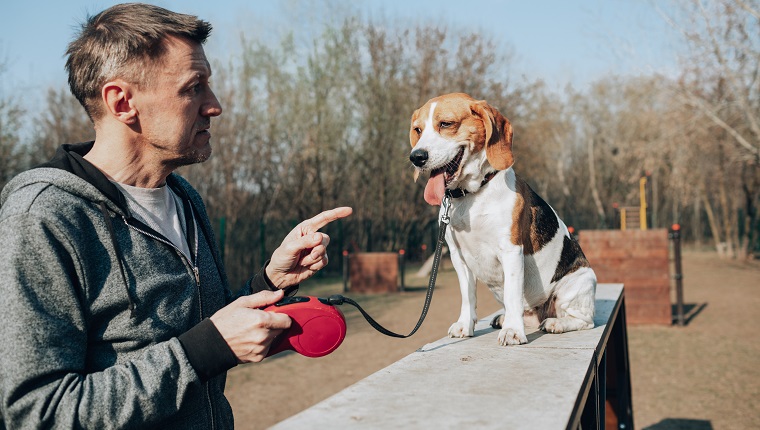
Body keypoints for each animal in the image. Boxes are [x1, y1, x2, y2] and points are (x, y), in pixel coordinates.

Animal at [406, 92, 596, 344]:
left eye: (446, 124)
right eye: (418, 130)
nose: (416, 157)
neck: (471, 196)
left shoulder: (511, 251)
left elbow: (513, 294)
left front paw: (513, 331)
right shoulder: (458, 256)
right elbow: (468, 296)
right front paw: (464, 325)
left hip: (577, 284)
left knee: (584, 321)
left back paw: (554, 323)